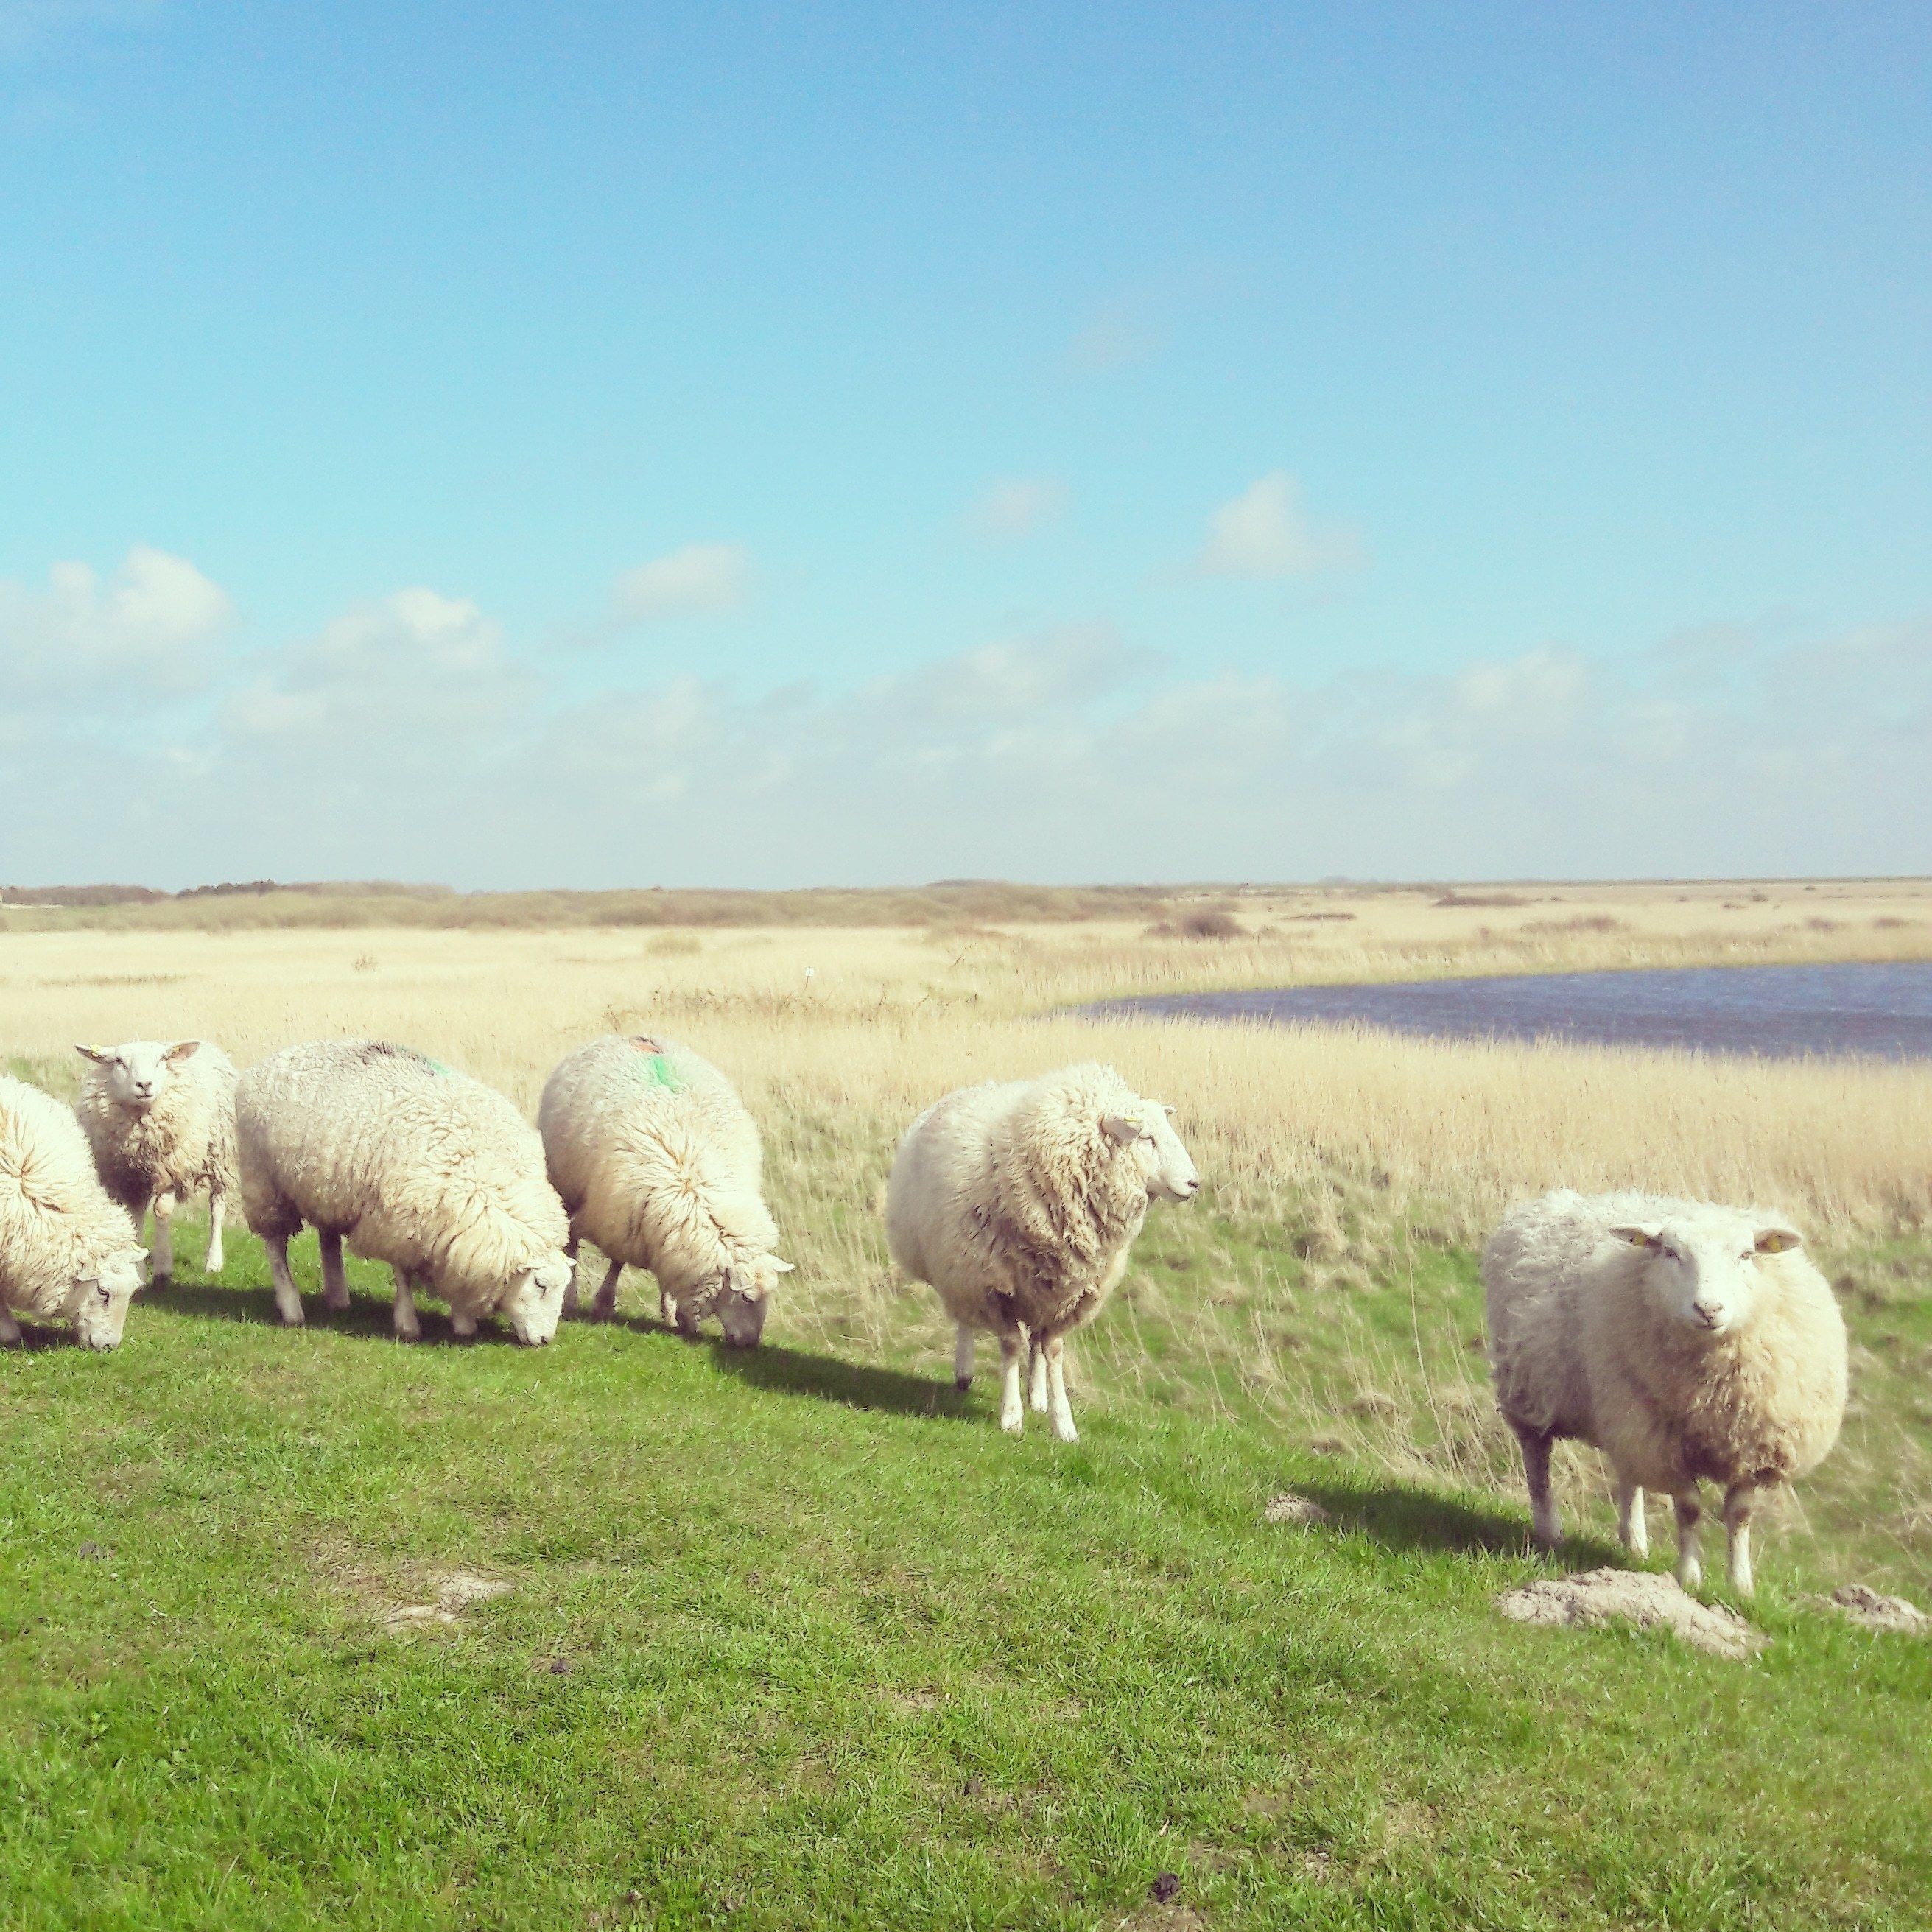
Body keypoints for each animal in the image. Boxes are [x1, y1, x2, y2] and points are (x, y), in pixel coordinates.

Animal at [74, 1038, 238, 1284]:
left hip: (221, 1155)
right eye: (119, 1061)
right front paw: (139, 1270)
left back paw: (214, 1261)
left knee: (217, 1206)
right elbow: (135, 1218)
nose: (144, 1084)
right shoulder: (129, 1178)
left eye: (162, 1059)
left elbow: (162, 1212)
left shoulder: (170, 1169)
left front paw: (163, 1268)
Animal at [235, 1041, 573, 1345]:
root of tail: (278, 1055)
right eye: (540, 1285)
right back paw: (292, 1308)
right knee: (276, 1247)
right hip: (264, 1184)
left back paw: (338, 1299)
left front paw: (463, 1322)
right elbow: (403, 1274)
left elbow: (457, 1273)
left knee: (328, 1239)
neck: (485, 1175)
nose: (545, 1340)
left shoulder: (447, 1230)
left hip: (326, 1187)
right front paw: (408, 1323)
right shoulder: (399, 1220)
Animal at [537, 1034, 791, 1346]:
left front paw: (673, 1314)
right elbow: (601, 1257)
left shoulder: (661, 1229)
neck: (697, 1183)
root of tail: (629, 1035)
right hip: (566, 1184)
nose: (751, 1344)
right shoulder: (617, 1216)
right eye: (747, 1298)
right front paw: (593, 1302)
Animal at [885, 1062, 1200, 1441]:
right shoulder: (990, 1285)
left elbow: (1053, 1350)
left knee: (1033, 1340)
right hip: (957, 1268)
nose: (1194, 1183)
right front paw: (1011, 1417)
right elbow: (1010, 1346)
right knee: (964, 1319)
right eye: (1145, 1137)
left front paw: (1062, 1422)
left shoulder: (1069, 1292)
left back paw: (1037, 1396)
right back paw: (964, 1371)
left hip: (1037, 1288)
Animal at [1484, 1189, 1848, 1596]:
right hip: (1532, 1389)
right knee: (1537, 1460)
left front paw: (1741, 1585)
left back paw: (1634, 1542)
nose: (1708, 1308)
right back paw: (1550, 1531)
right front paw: (1689, 1577)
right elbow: (1688, 1509)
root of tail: (1551, 1199)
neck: (1712, 1391)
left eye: (1746, 1254)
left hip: (1623, 1415)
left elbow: (1740, 1514)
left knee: (1628, 1474)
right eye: (1671, 1253)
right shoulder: (1665, 1442)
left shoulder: (1751, 1443)